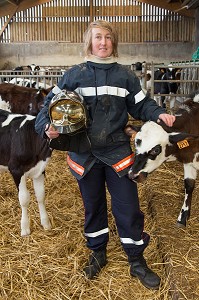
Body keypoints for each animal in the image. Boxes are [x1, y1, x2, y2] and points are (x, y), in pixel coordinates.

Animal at [125, 94, 199, 227]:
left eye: (156, 150)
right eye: (136, 142)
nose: (132, 175)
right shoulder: (188, 161)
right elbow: (189, 185)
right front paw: (183, 217)